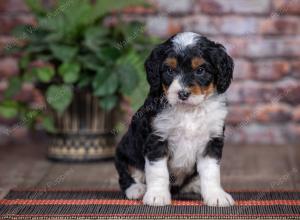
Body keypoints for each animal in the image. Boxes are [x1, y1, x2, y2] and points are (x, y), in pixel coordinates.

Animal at [115, 32, 234, 206]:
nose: (183, 94)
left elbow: (211, 172)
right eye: (170, 70)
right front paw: (157, 195)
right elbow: (158, 171)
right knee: (126, 174)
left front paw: (216, 195)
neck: (188, 111)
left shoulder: (212, 140)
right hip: (124, 152)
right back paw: (136, 189)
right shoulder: (157, 139)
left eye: (200, 70)